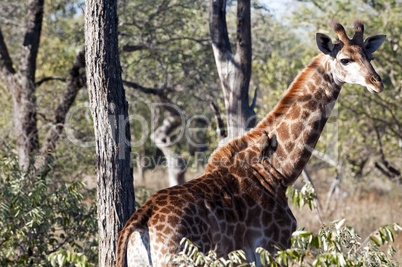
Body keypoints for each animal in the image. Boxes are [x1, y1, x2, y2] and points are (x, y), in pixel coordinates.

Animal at [115, 21, 384, 267]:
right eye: (345, 59)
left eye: (369, 55)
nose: (377, 82)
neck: (276, 171)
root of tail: (140, 219)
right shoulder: (272, 247)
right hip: (181, 260)